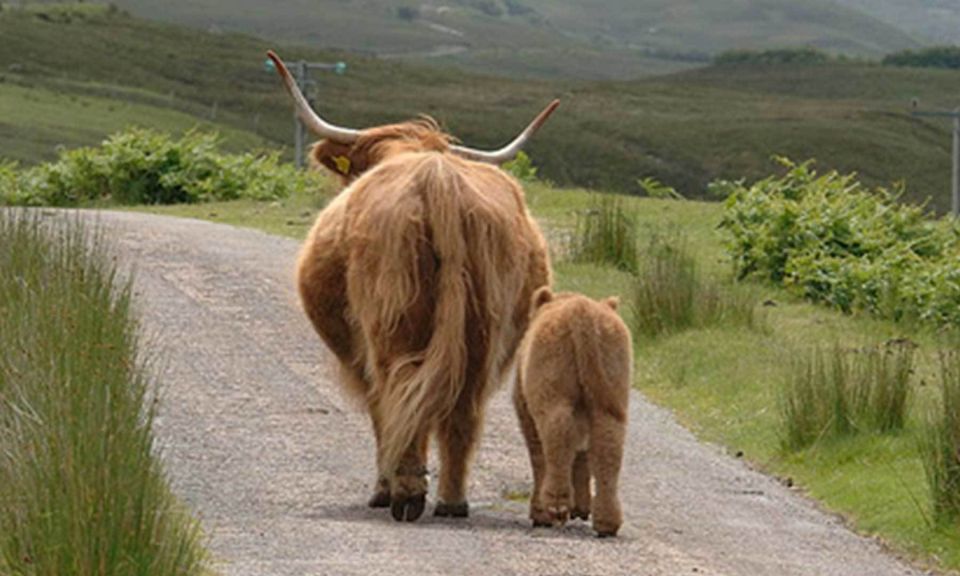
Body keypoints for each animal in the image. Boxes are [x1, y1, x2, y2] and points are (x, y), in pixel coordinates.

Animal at [268, 53, 556, 520]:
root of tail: (438, 178)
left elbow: (380, 410)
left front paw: (382, 490)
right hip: (484, 327)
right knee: (462, 407)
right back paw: (452, 501)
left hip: (392, 320)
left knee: (399, 390)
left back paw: (403, 493)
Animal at [512, 290, 632, 536]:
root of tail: (580, 307)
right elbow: (582, 457)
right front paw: (582, 507)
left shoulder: (526, 413)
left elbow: (539, 457)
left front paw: (540, 513)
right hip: (611, 394)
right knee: (607, 445)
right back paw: (607, 522)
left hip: (552, 394)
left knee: (557, 437)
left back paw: (555, 506)